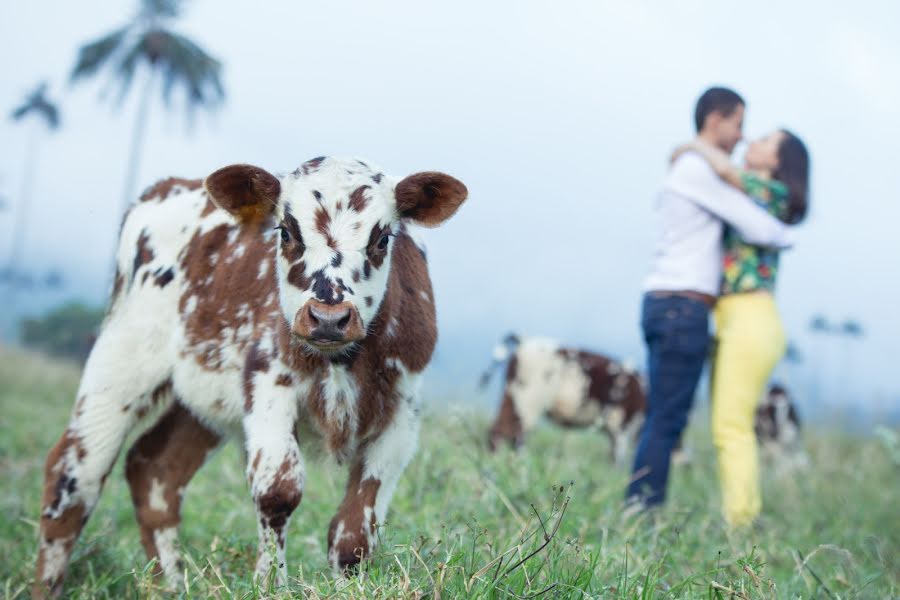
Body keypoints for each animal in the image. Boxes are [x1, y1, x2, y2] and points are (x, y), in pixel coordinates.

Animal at [33, 157, 472, 596]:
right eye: (286, 231)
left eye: (382, 240)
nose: (328, 317)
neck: (339, 362)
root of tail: (168, 187)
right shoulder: (269, 383)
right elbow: (278, 490)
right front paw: (269, 583)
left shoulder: (401, 413)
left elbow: (356, 531)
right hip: (122, 359)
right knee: (74, 476)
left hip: (202, 398)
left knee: (154, 470)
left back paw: (173, 585)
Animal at [486, 336, 648, 462]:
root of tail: (524, 341)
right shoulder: (622, 428)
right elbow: (616, 459)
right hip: (528, 401)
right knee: (515, 435)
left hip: (512, 396)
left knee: (501, 432)